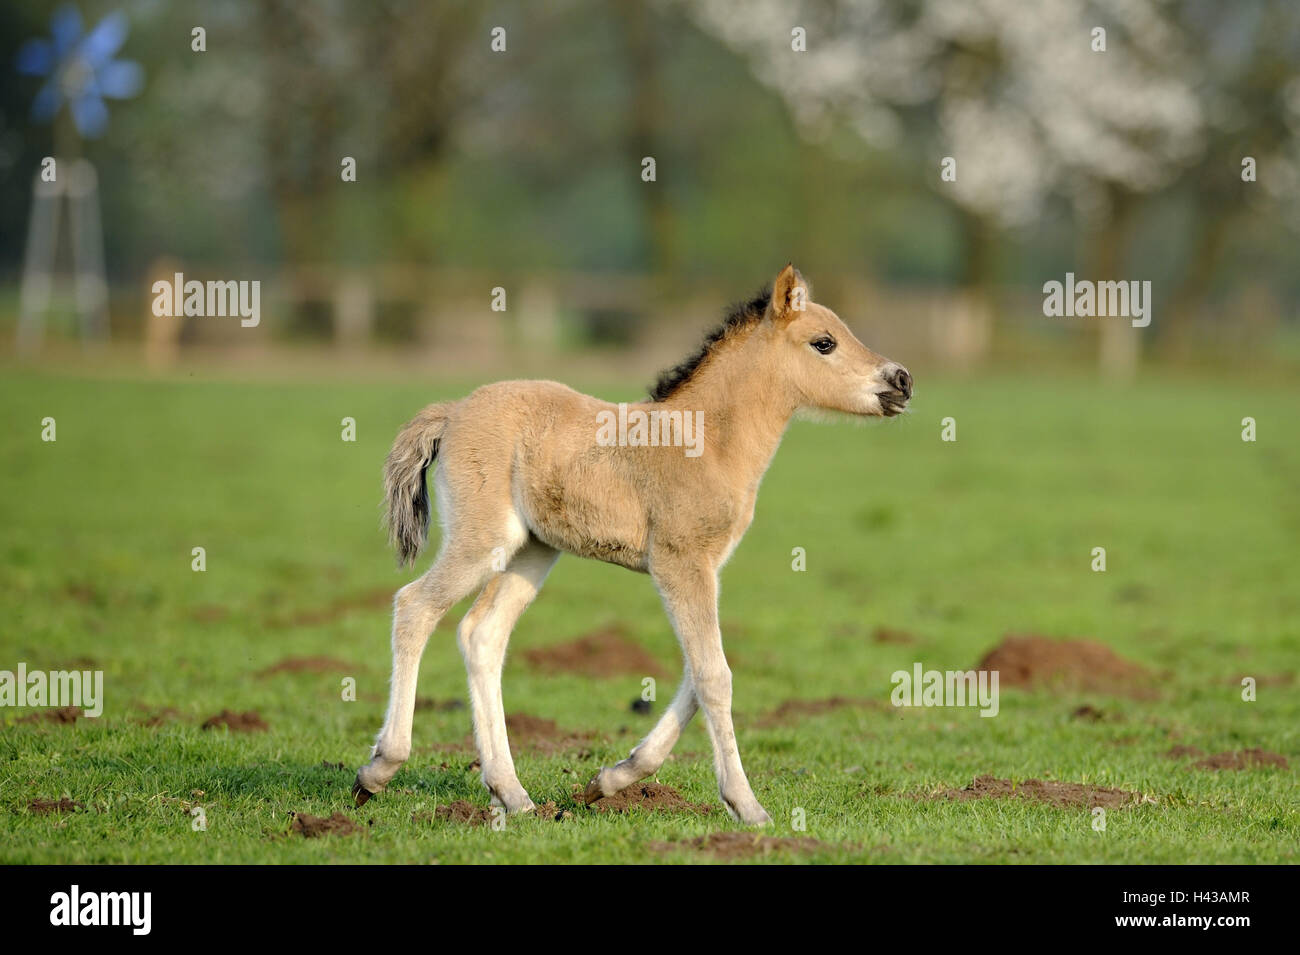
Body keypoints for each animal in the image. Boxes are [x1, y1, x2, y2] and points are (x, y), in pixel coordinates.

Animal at [351, 265, 909, 826]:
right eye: (824, 342)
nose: (902, 380)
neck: (706, 441)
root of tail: (452, 410)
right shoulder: (680, 564)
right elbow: (713, 675)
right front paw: (747, 806)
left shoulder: (706, 569)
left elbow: (697, 672)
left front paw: (609, 780)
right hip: (482, 540)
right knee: (414, 606)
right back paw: (377, 771)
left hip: (532, 550)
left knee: (482, 634)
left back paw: (513, 794)